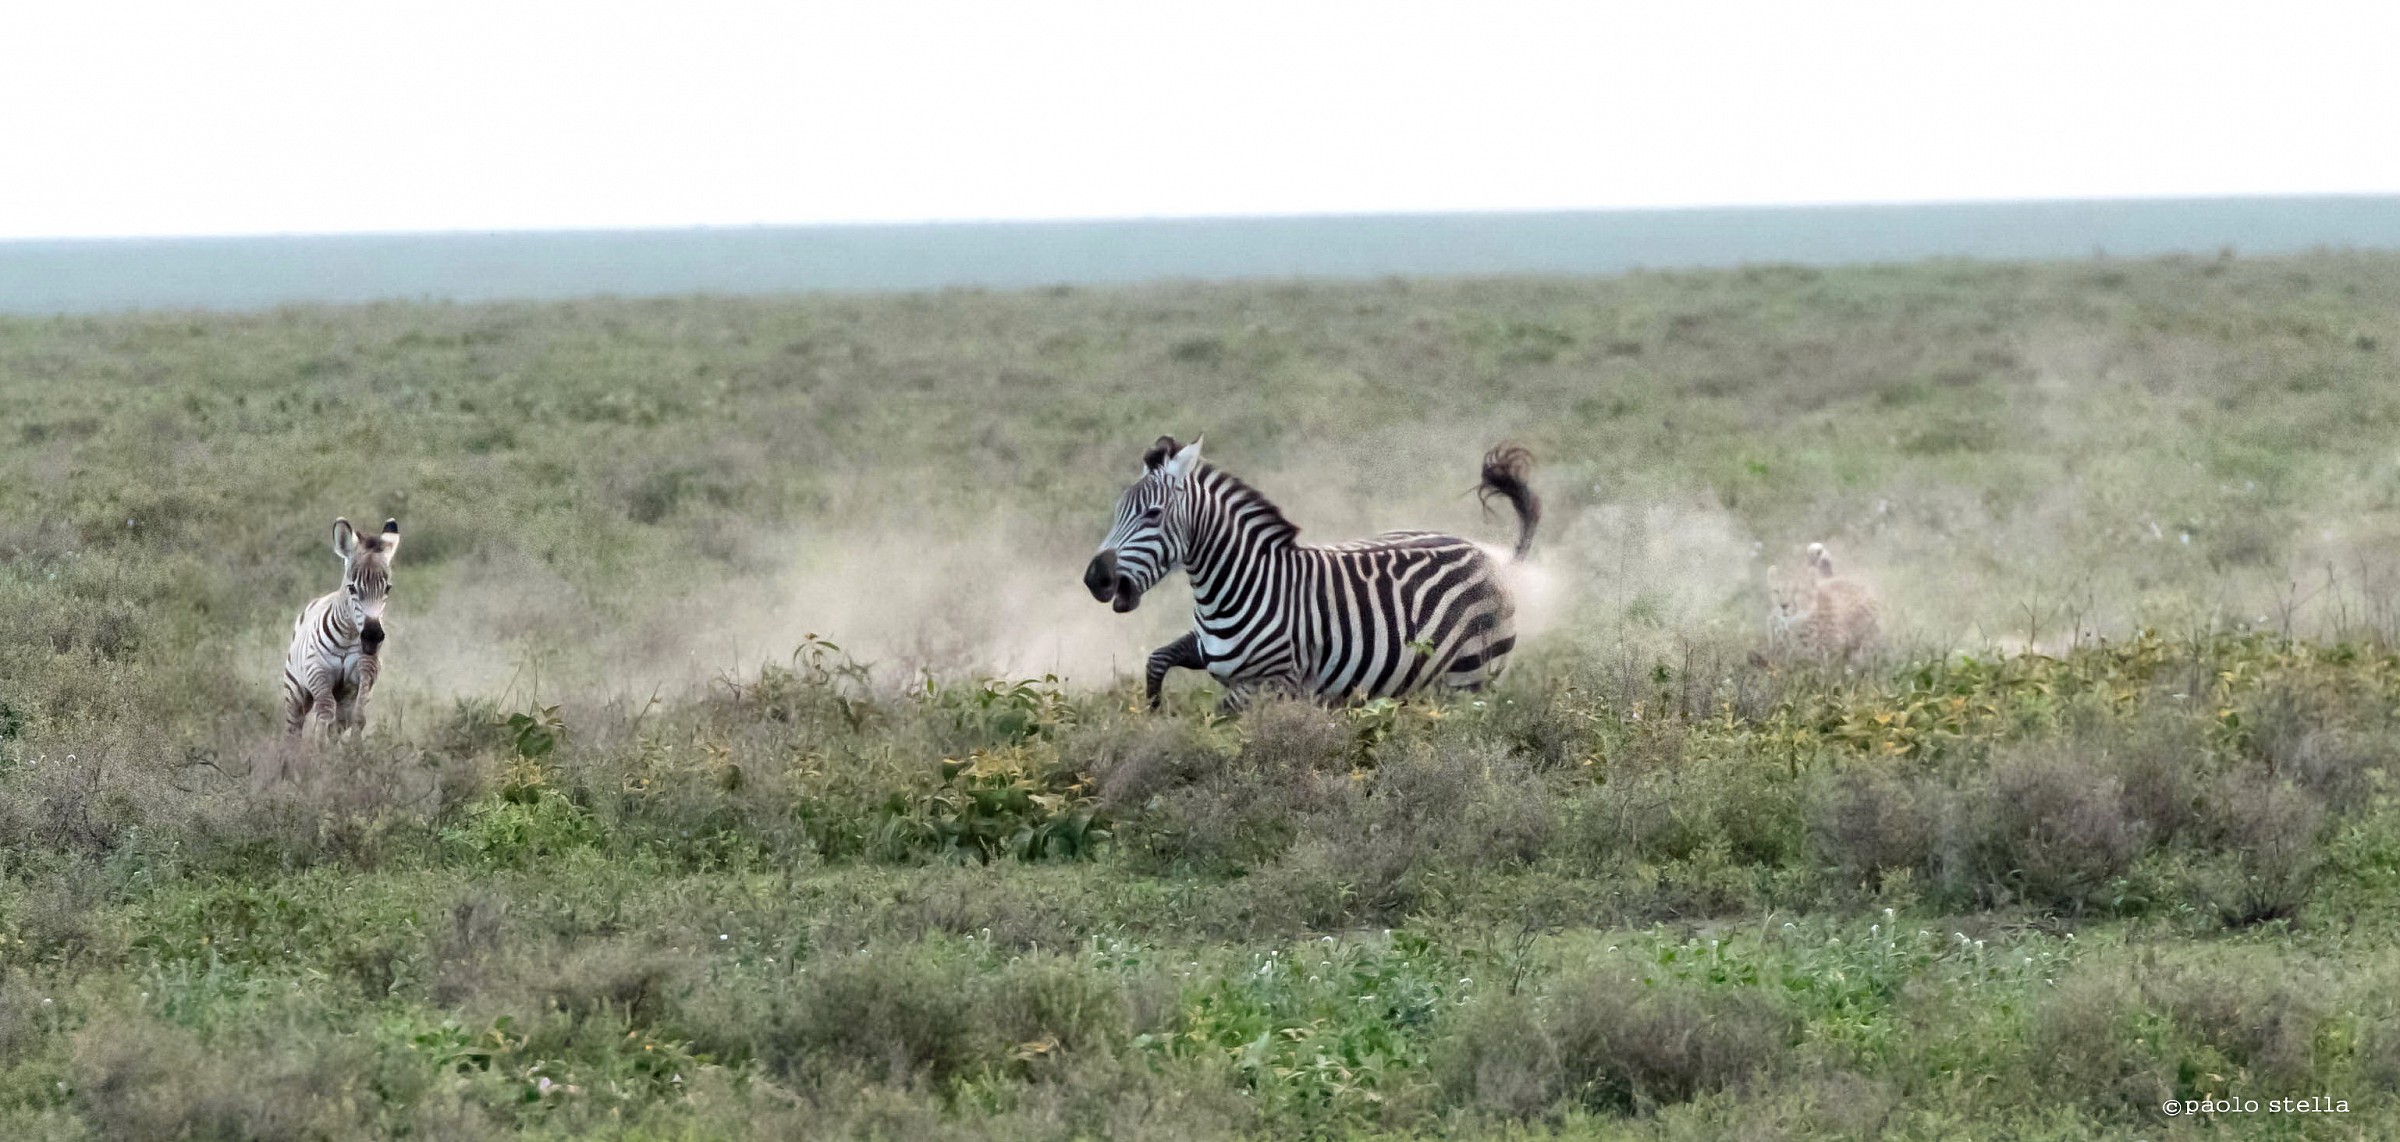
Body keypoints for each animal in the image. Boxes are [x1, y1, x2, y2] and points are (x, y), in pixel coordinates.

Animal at [282, 517, 401, 738]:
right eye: (352, 588)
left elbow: (358, 715)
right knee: (295, 727)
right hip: (295, 692)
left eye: (387, 588)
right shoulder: (317, 671)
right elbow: (325, 713)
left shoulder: (366, 670)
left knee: (339, 722)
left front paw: (354, 747)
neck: (349, 635)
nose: (372, 637)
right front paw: (319, 745)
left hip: (343, 694)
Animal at [1083, 436, 1540, 711]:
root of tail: (1490, 556)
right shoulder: (1204, 648)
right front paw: (1154, 711)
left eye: (1152, 514)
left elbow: (1217, 721)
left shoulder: (1269, 684)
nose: (1095, 579)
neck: (1239, 584)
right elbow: (1156, 660)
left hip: (1468, 678)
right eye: (1117, 511)